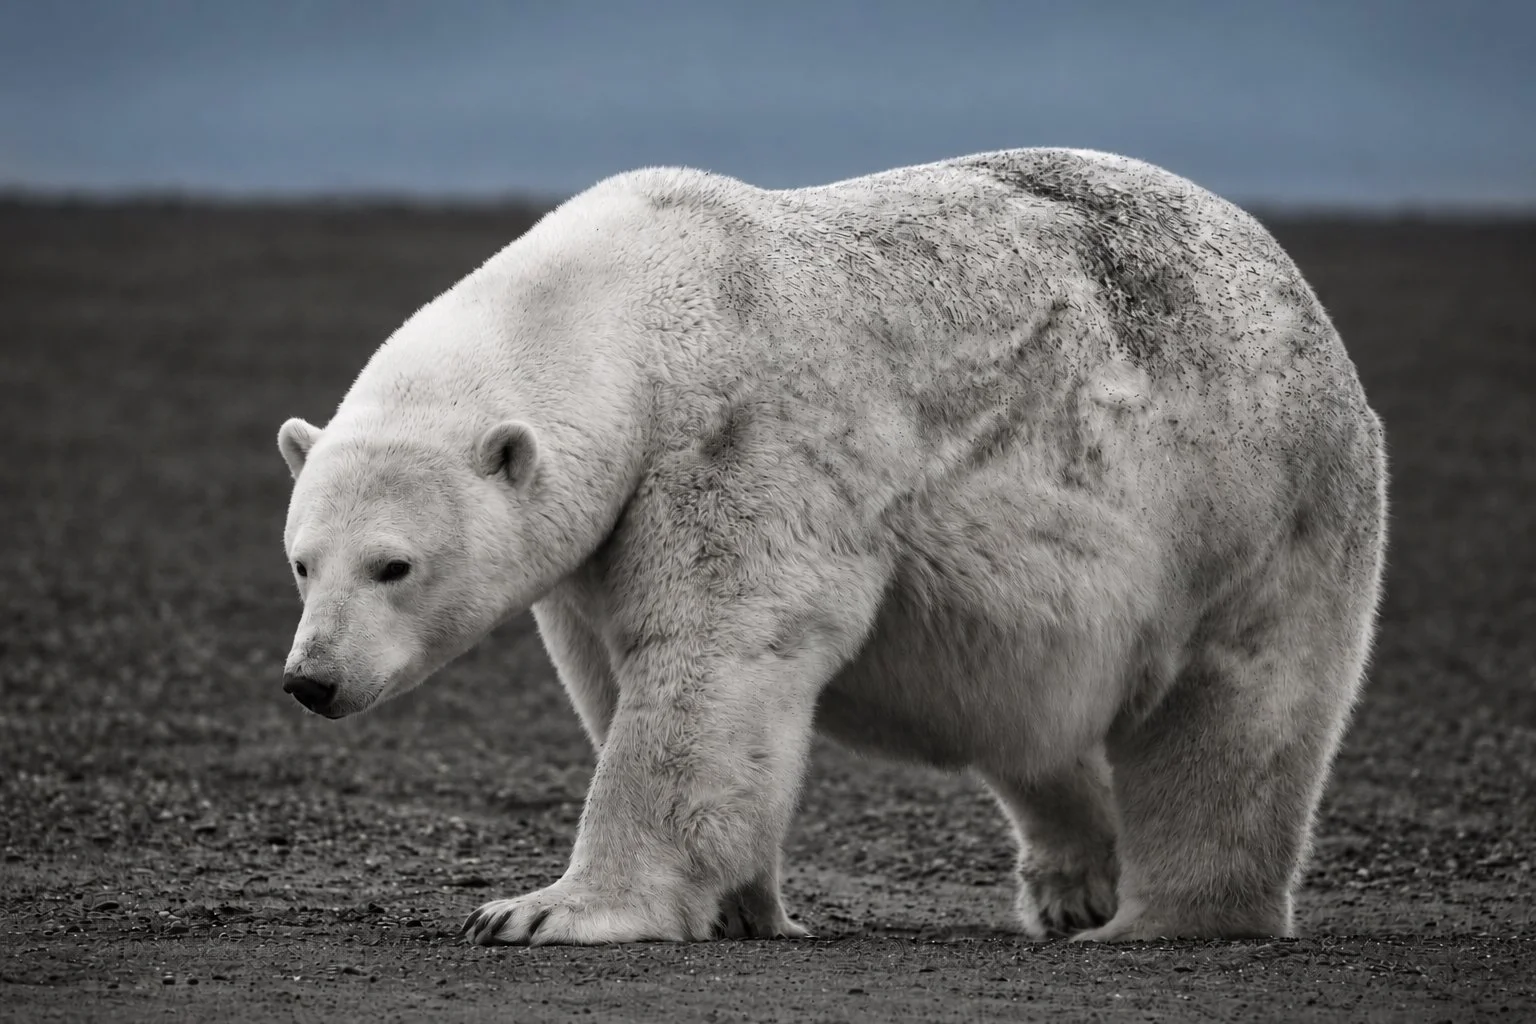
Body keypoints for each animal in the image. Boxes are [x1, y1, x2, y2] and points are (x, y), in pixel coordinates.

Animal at [276, 147, 1387, 946]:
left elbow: (712, 660)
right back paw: (1076, 886)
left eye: (393, 565)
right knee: (1038, 730)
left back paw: (1160, 919)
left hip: (1248, 504)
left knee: (1233, 716)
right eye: (300, 559)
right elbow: (618, 672)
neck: (643, 301)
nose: (312, 678)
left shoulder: (747, 440)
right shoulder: (600, 537)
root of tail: (1298, 289)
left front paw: (543, 910)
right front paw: (742, 906)